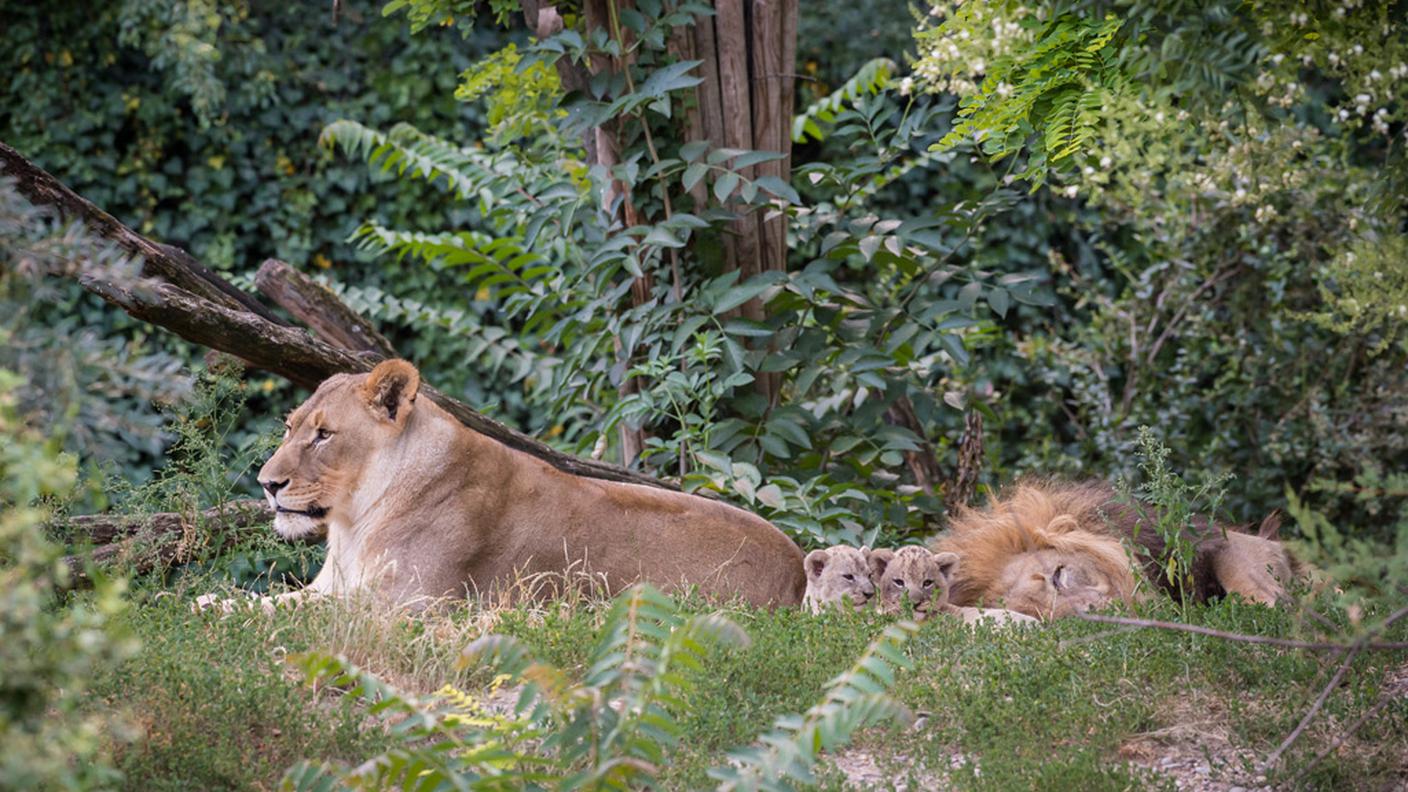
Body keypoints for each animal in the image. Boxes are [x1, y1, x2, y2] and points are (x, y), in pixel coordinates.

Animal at [253, 357, 805, 603]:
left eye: (324, 435)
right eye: (290, 427)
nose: (267, 483)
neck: (353, 524)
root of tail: (799, 570)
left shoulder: (407, 603)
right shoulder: (333, 588)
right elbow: (262, 603)